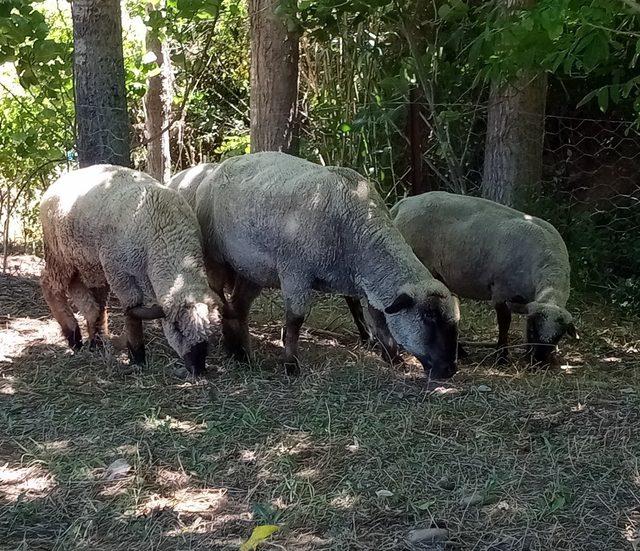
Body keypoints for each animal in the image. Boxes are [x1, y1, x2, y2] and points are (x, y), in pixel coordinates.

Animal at [40, 164, 220, 378]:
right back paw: (73, 336)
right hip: (59, 254)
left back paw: (95, 340)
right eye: (176, 328)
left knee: (91, 298)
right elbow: (131, 311)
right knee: (50, 286)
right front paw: (137, 356)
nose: (198, 369)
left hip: (87, 263)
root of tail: (55, 185)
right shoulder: (119, 272)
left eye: (209, 328)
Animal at [172, 152, 458, 380]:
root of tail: (220, 166)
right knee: (220, 300)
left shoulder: (366, 285)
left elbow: (378, 320)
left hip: (252, 269)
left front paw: (394, 359)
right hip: (217, 258)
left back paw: (241, 353)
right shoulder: (296, 272)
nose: (449, 370)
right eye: (429, 318)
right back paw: (235, 350)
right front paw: (291, 366)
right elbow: (295, 320)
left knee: (237, 308)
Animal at [378, 192, 576, 364]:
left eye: (558, 336)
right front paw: (502, 357)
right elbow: (504, 324)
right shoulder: (501, 291)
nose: (539, 361)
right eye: (534, 329)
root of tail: (403, 204)